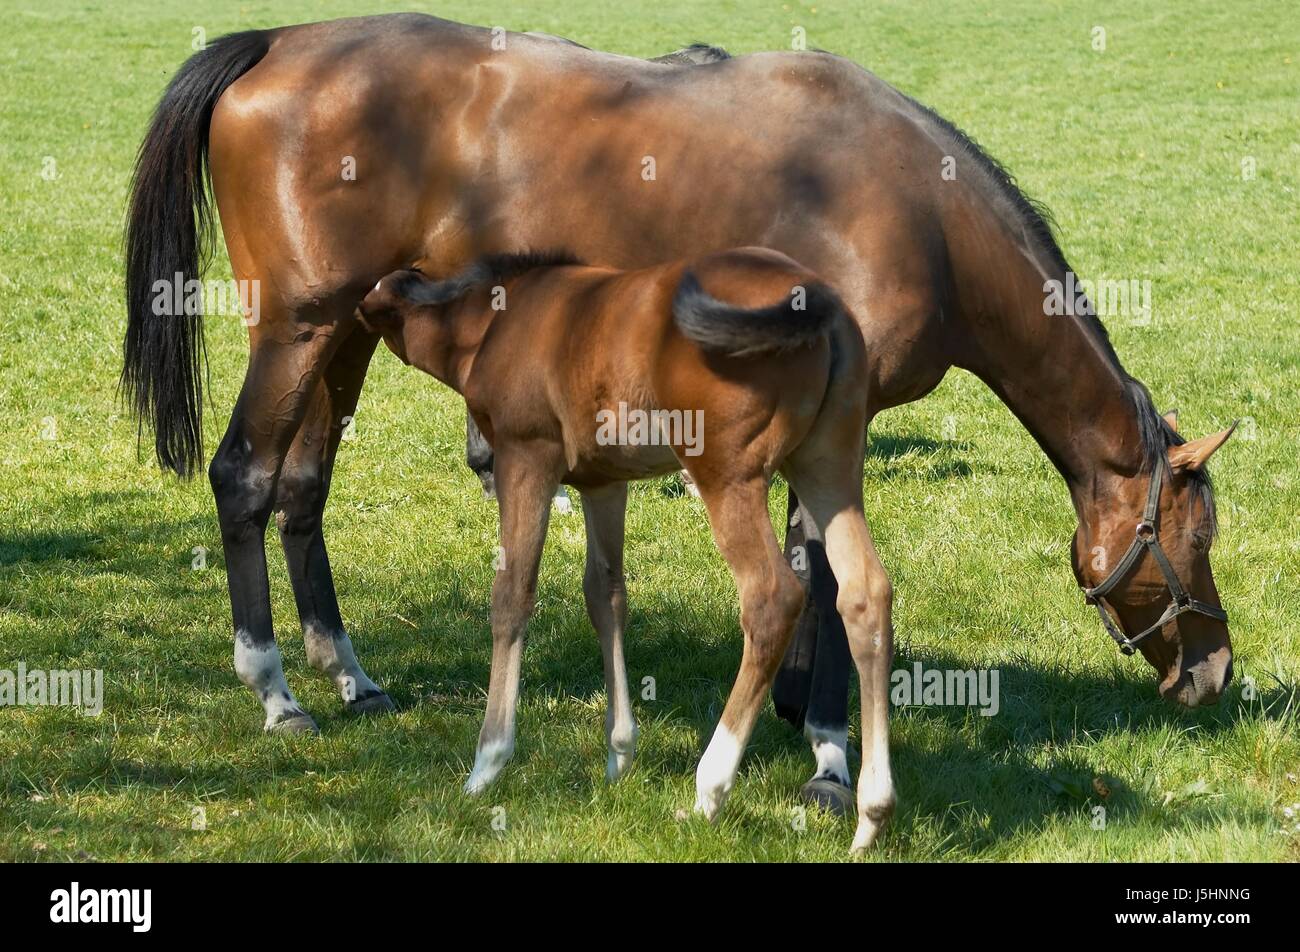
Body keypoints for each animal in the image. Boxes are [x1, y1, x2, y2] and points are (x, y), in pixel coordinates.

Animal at [361, 249, 899, 853]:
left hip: (728, 473)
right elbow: (606, 595)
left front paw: (487, 764)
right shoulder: (602, 482)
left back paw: (710, 789)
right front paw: (619, 756)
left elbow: (512, 596)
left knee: (773, 597)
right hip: (827, 464)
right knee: (866, 594)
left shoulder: (527, 457)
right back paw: (871, 814)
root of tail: (817, 299)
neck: (496, 320)